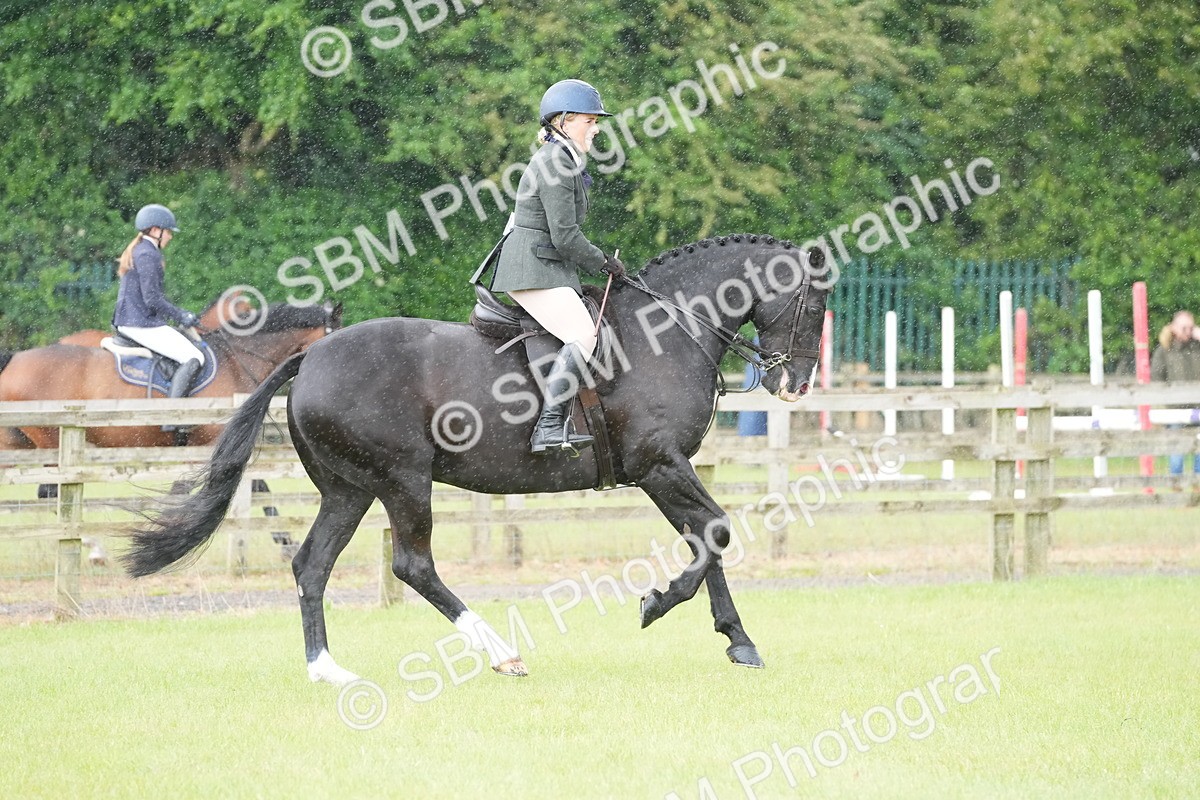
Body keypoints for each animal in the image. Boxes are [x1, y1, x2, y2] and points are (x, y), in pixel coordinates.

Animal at [124, 234, 830, 684]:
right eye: (816, 304)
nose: (795, 383)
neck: (667, 329)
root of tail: (311, 355)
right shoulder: (659, 465)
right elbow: (714, 532)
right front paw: (658, 604)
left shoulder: (665, 471)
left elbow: (705, 535)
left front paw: (738, 640)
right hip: (404, 480)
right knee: (412, 565)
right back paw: (501, 653)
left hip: (349, 489)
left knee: (312, 565)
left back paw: (327, 671)